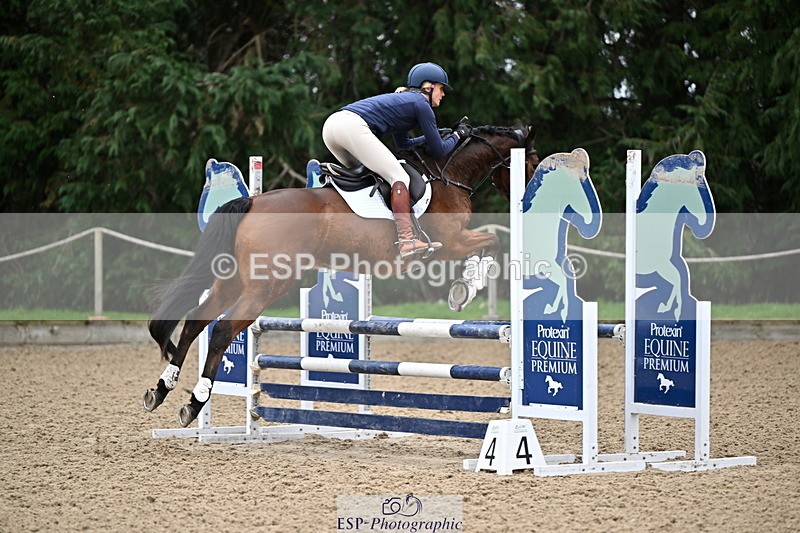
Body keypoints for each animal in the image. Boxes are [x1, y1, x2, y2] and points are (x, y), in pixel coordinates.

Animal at [143, 125, 540, 427]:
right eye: (533, 161)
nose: (528, 202)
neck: (447, 175)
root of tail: (253, 201)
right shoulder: (451, 241)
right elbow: (493, 242)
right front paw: (467, 287)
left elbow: (490, 243)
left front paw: (465, 286)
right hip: (266, 286)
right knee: (223, 330)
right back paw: (194, 402)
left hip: (234, 281)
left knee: (197, 321)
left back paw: (161, 390)